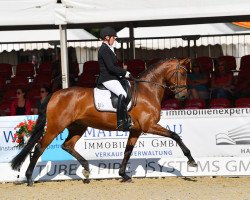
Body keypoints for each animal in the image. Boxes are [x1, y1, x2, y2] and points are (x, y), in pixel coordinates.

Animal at [11, 57, 197, 186]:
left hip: (78, 127)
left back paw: (86, 170)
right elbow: (175, 135)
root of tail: (54, 94)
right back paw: (29, 178)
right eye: (182, 73)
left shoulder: (136, 130)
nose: (183, 96)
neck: (148, 90)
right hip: (56, 127)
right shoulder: (148, 126)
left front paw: (124, 175)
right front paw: (192, 161)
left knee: (67, 145)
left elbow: (128, 152)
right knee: (39, 147)